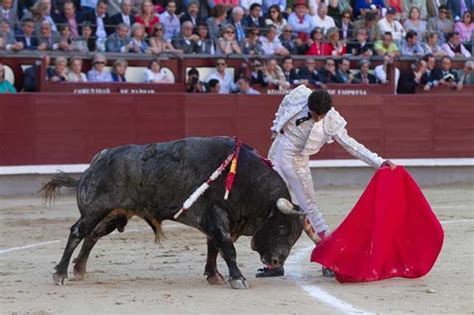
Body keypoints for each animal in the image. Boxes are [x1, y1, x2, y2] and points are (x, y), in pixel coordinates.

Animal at [39, 137, 304, 290]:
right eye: (282, 228)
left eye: (295, 235)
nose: (276, 262)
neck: (246, 181)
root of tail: (95, 162)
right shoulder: (217, 217)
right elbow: (227, 248)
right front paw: (237, 278)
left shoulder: (214, 222)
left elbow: (214, 248)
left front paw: (213, 275)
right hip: (96, 210)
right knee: (78, 232)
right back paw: (60, 273)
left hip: (113, 215)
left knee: (92, 236)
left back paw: (79, 269)